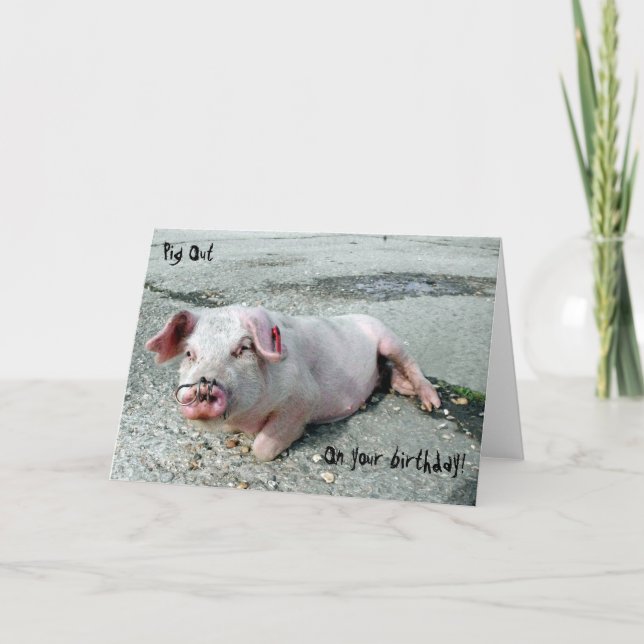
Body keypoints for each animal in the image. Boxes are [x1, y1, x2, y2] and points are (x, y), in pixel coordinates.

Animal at [145, 306, 441, 462]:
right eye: (189, 354)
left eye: (243, 349)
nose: (203, 385)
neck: (245, 418)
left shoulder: (304, 396)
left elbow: (262, 449)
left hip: (389, 339)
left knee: (410, 364)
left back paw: (431, 404)